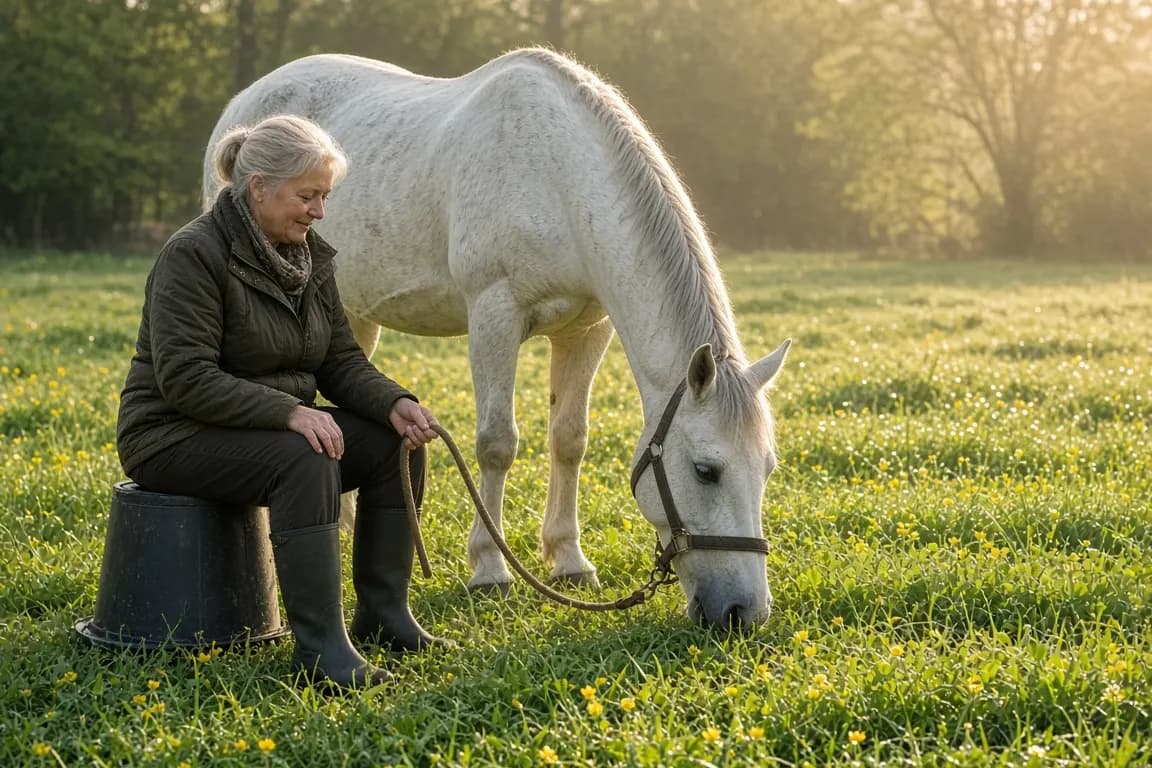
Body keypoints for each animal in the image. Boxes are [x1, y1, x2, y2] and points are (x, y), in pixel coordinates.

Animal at [203, 48, 791, 629]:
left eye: (766, 468)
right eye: (706, 471)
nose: (743, 612)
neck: (558, 178)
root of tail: (243, 107)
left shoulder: (587, 329)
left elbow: (569, 439)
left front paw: (569, 562)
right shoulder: (495, 314)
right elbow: (496, 443)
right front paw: (490, 568)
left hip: (351, 308)